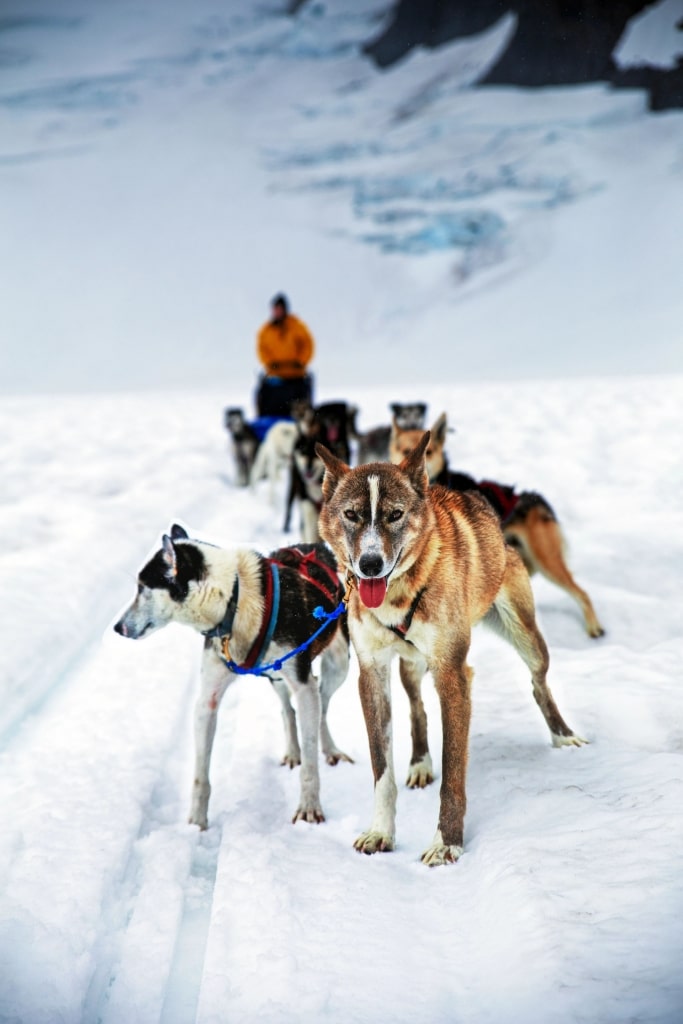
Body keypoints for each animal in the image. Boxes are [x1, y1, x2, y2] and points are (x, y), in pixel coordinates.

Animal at [114, 524, 350, 827]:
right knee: (288, 709)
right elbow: (200, 776)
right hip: (276, 676)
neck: (234, 601)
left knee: (321, 707)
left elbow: (310, 765)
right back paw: (292, 751)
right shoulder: (207, 700)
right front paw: (196, 824)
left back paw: (330, 750)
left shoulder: (303, 684)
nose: (118, 627)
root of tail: (314, 546)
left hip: (338, 665)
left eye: (142, 587)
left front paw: (309, 808)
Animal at [317, 436, 589, 868]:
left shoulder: (452, 675)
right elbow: (382, 770)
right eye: (351, 515)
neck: (399, 593)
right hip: (412, 665)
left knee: (538, 682)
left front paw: (447, 842)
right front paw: (381, 832)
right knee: (416, 705)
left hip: (526, 637)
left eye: (395, 514)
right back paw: (419, 762)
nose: (370, 564)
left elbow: (454, 772)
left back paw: (563, 736)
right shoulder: (372, 673)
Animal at [389, 411, 602, 634]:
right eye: (404, 450)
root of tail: (539, 500)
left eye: (430, 452)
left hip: (547, 562)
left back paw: (594, 627)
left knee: (582, 593)